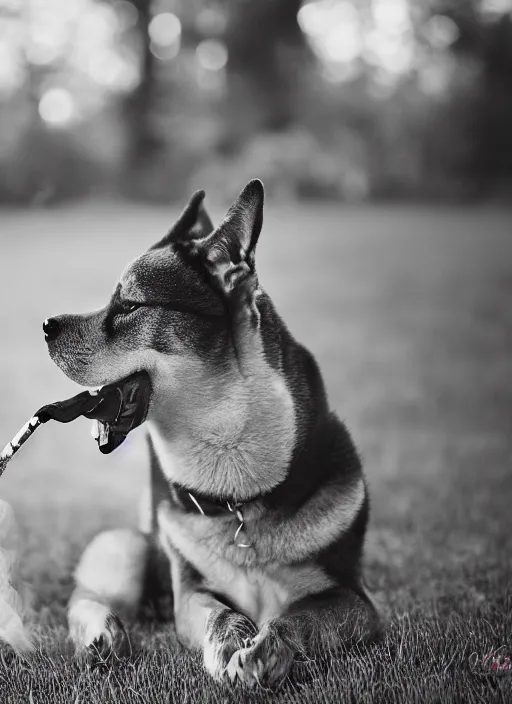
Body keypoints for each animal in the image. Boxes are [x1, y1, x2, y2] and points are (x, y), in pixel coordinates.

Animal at [43, 179, 380, 684]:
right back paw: (102, 634)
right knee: (86, 598)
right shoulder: (191, 595)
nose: (44, 326)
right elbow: (221, 614)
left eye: (130, 305)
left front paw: (269, 649)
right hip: (125, 547)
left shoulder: (355, 601)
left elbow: (296, 619)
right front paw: (231, 644)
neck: (239, 497)